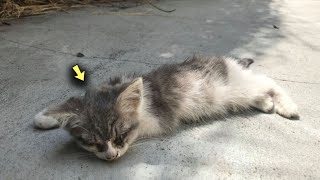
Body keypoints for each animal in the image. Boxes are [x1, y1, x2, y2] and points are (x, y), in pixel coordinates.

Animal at [33, 56, 298, 160]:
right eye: (93, 142)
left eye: (119, 136)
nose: (110, 156)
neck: (141, 99)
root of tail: (228, 62)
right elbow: (72, 104)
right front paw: (45, 117)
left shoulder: (160, 118)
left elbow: (140, 127)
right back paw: (266, 103)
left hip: (238, 86)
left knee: (268, 82)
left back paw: (287, 105)